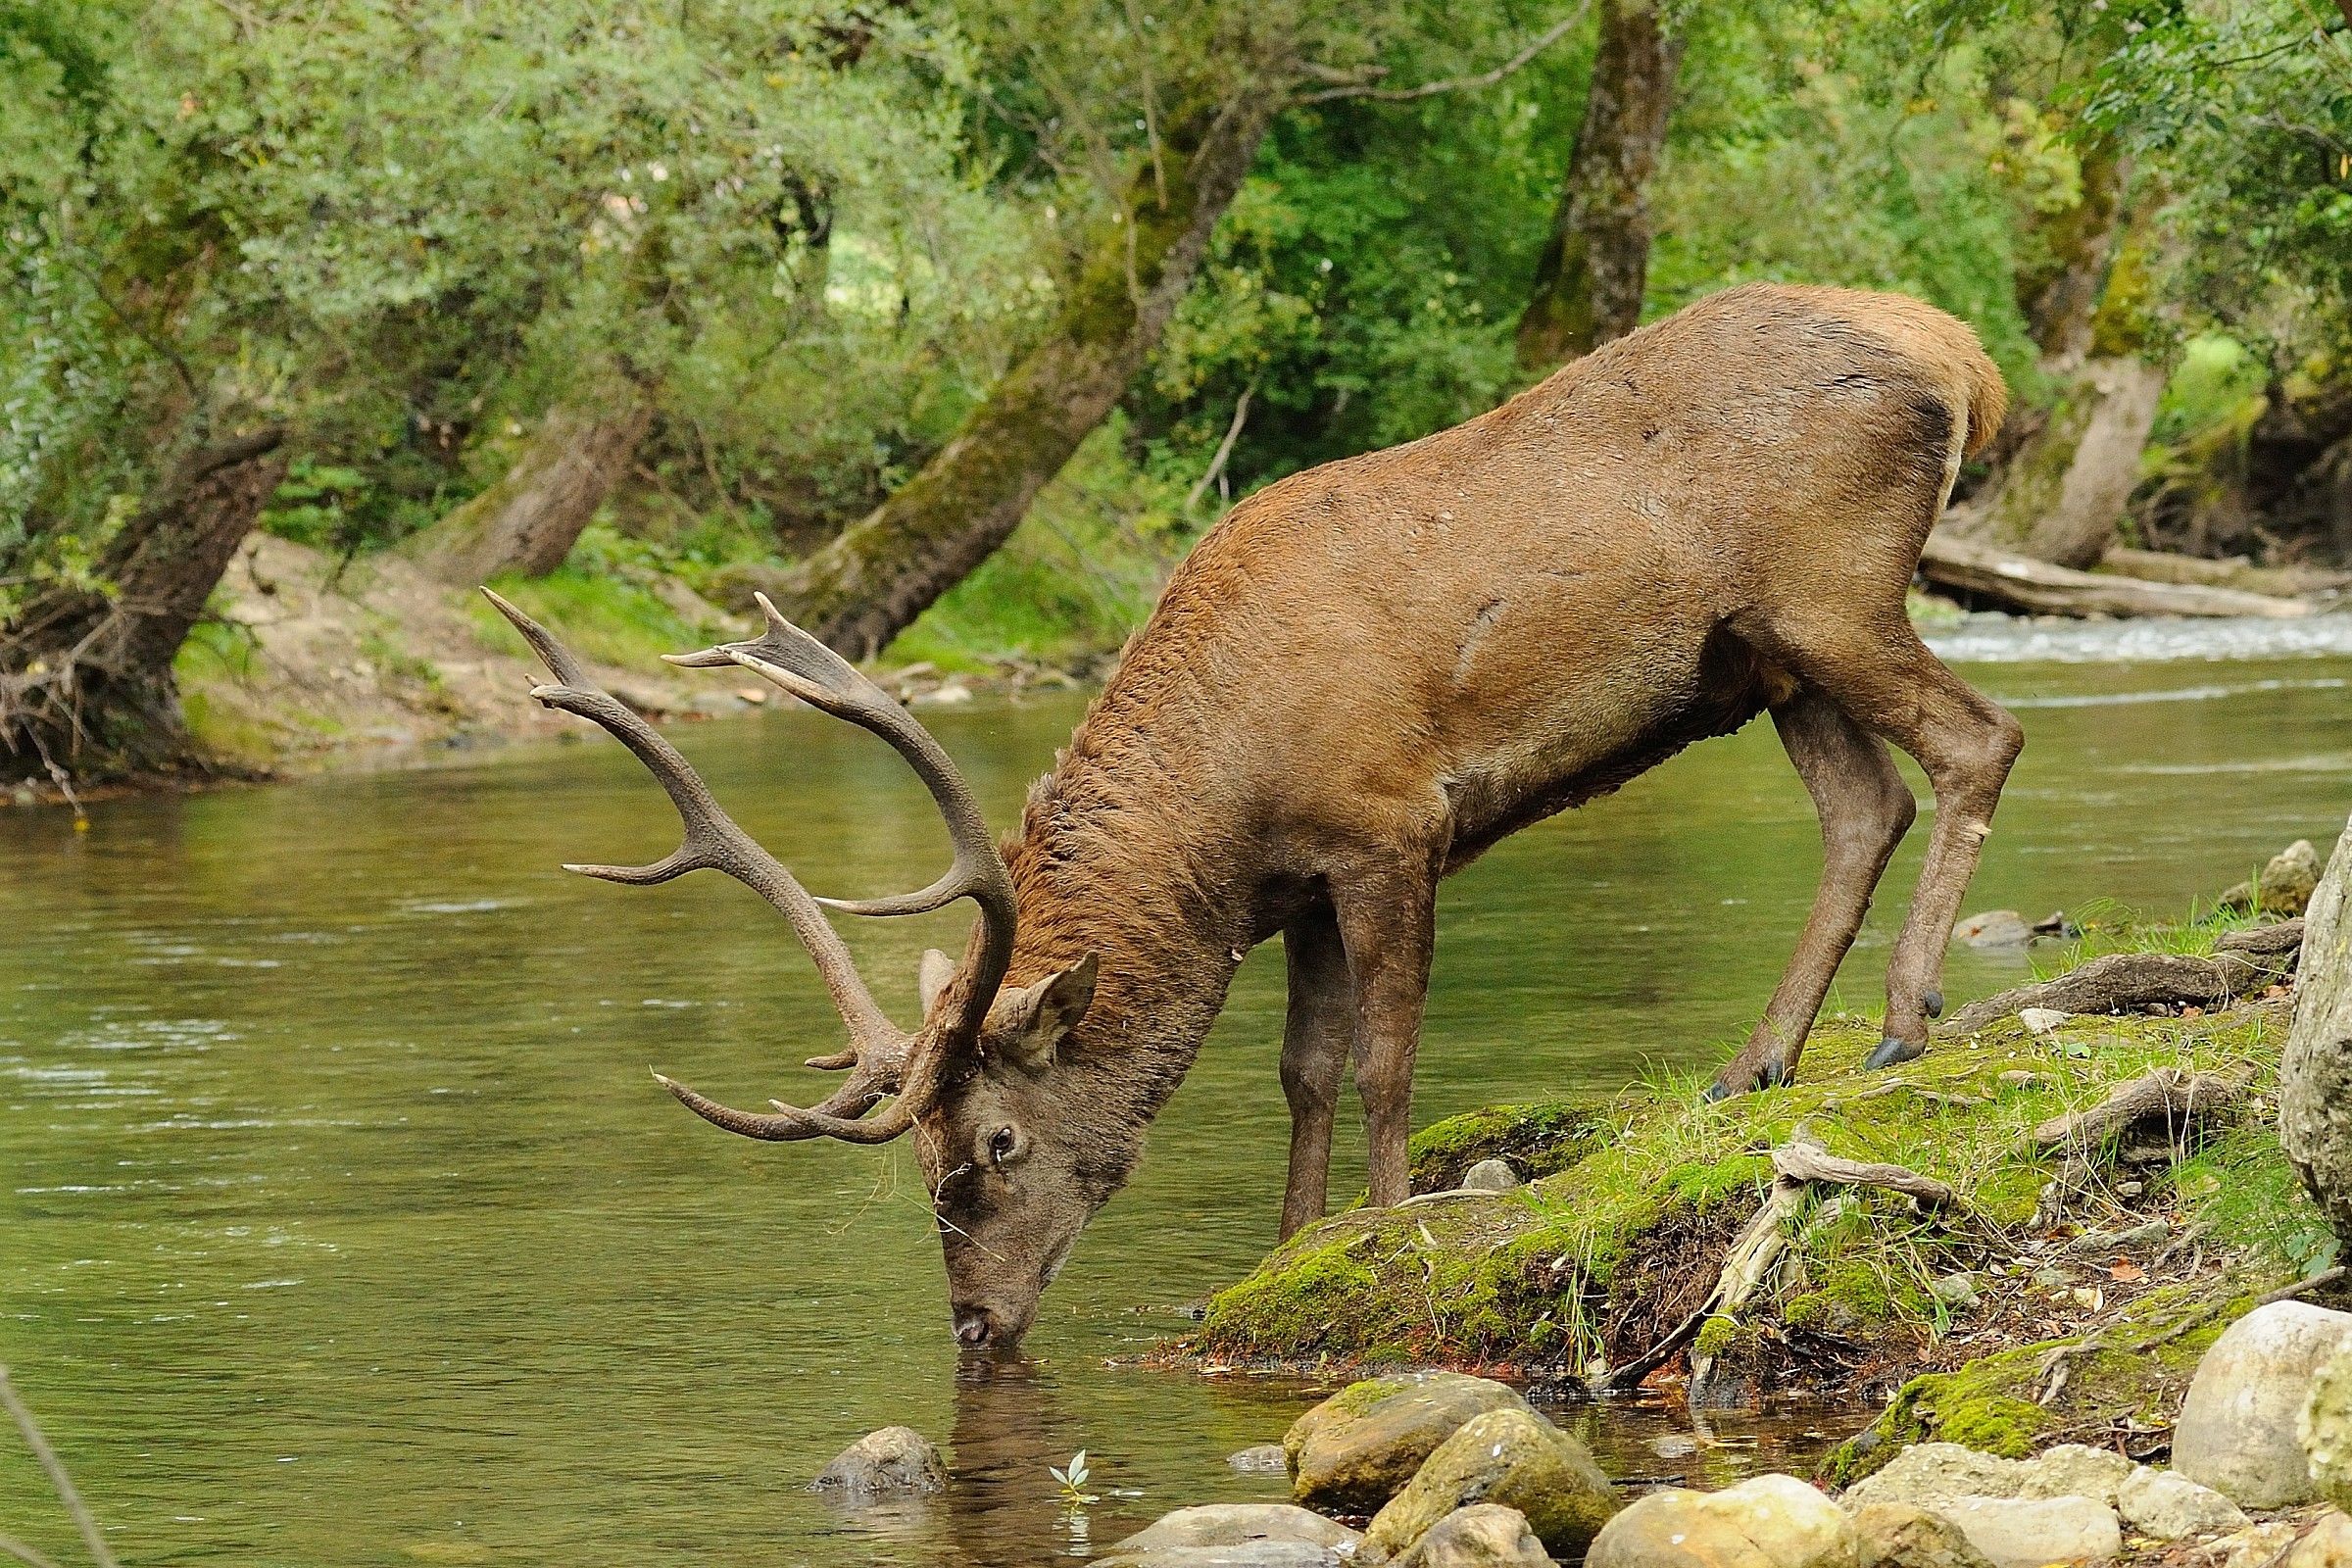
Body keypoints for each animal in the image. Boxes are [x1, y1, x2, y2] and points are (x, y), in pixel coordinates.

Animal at [488, 281, 2022, 1351]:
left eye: (996, 1143)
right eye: (922, 1157)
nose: (974, 1326)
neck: (1225, 808)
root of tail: (1968, 360)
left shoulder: (1392, 823)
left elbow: (1391, 1061)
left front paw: (1387, 1227)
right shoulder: (1297, 890)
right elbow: (1306, 1071)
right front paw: (1285, 1249)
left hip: (1833, 590)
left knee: (1980, 741)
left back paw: (1902, 1020)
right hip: (1764, 653)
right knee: (1867, 805)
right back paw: (1752, 1066)